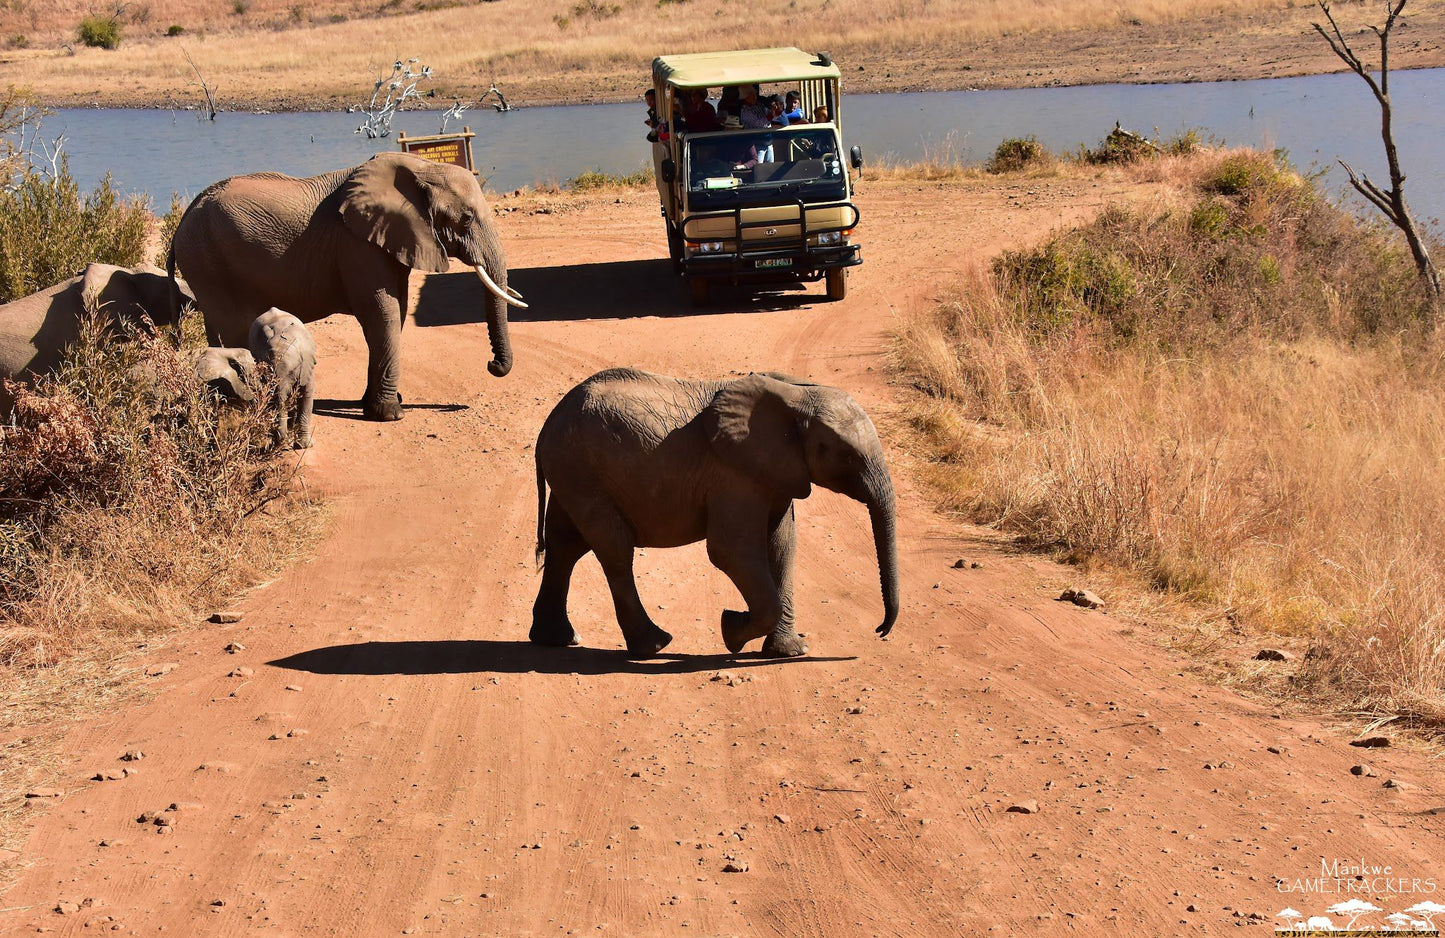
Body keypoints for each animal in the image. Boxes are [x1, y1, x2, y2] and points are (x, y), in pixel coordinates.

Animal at [169, 152, 528, 422]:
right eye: (466, 219)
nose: (492, 366)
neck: (421, 168)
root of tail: (185, 216)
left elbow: (395, 313)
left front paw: (376, 405)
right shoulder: (357, 244)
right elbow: (383, 314)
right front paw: (390, 414)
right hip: (207, 258)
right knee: (230, 327)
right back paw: (245, 406)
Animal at [248, 304, 316, 448]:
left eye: (292, 371)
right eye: (266, 372)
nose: (285, 443)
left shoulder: (307, 366)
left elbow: (306, 396)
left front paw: (305, 446)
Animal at [525, 367, 895, 659]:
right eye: (847, 456)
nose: (879, 631)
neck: (796, 395)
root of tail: (547, 425)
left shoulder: (777, 472)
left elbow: (782, 545)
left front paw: (789, 651)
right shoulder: (733, 475)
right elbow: (730, 550)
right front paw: (731, 630)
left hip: (572, 471)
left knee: (565, 545)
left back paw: (557, 639)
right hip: (580, 470)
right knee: (613, 548)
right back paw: (654, 646)